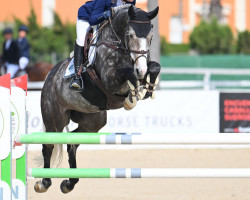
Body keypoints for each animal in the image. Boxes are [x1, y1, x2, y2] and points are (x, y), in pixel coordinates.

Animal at [37, 5, 162, 194]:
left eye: (151, 36)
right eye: (131, 35)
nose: (141, 70)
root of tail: (49, 76)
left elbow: (154, 66)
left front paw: (147, 88)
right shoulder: (111, 80)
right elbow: (127, 73)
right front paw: (134, 92)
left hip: (93, 121)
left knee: (72, 143)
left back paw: (69, 183)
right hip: (55, 118)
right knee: (48, 145)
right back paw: (43, 183)